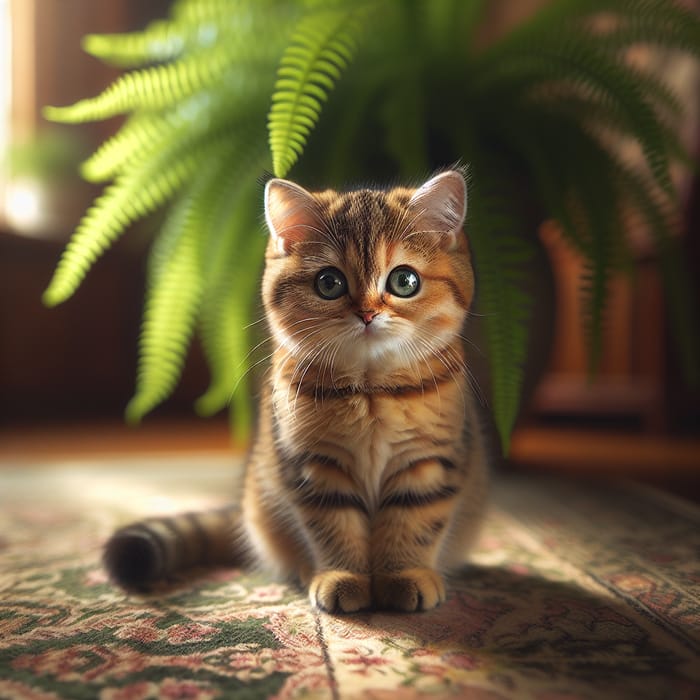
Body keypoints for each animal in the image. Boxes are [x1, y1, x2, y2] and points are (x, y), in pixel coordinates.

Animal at [106, 171, 490, 612]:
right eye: (329, 283)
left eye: (404, 280)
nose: (367, 314)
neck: (370, 390)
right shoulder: (314, 468)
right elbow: (334, 528)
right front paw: (343, 577)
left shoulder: (428, 462)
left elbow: (413, 523)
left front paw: (404, 575)